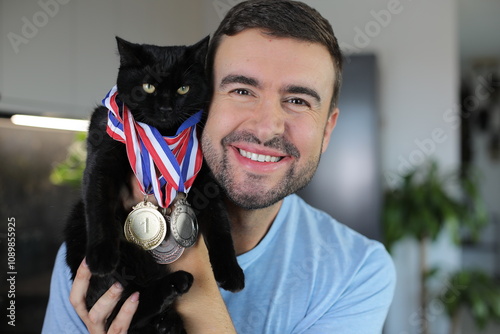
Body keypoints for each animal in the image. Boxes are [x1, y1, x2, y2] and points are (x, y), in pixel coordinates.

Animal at [64, 37, 244, 334]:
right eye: (148, 86)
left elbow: (220, 224)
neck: (165, 135)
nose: (166, 107)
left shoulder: (205, 179)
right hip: (82, 225)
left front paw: (230, 271)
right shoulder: (101, 162)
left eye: (183, 88)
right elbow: (99, 207)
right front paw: (102, 256)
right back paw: (173, 285)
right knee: (122, 309)